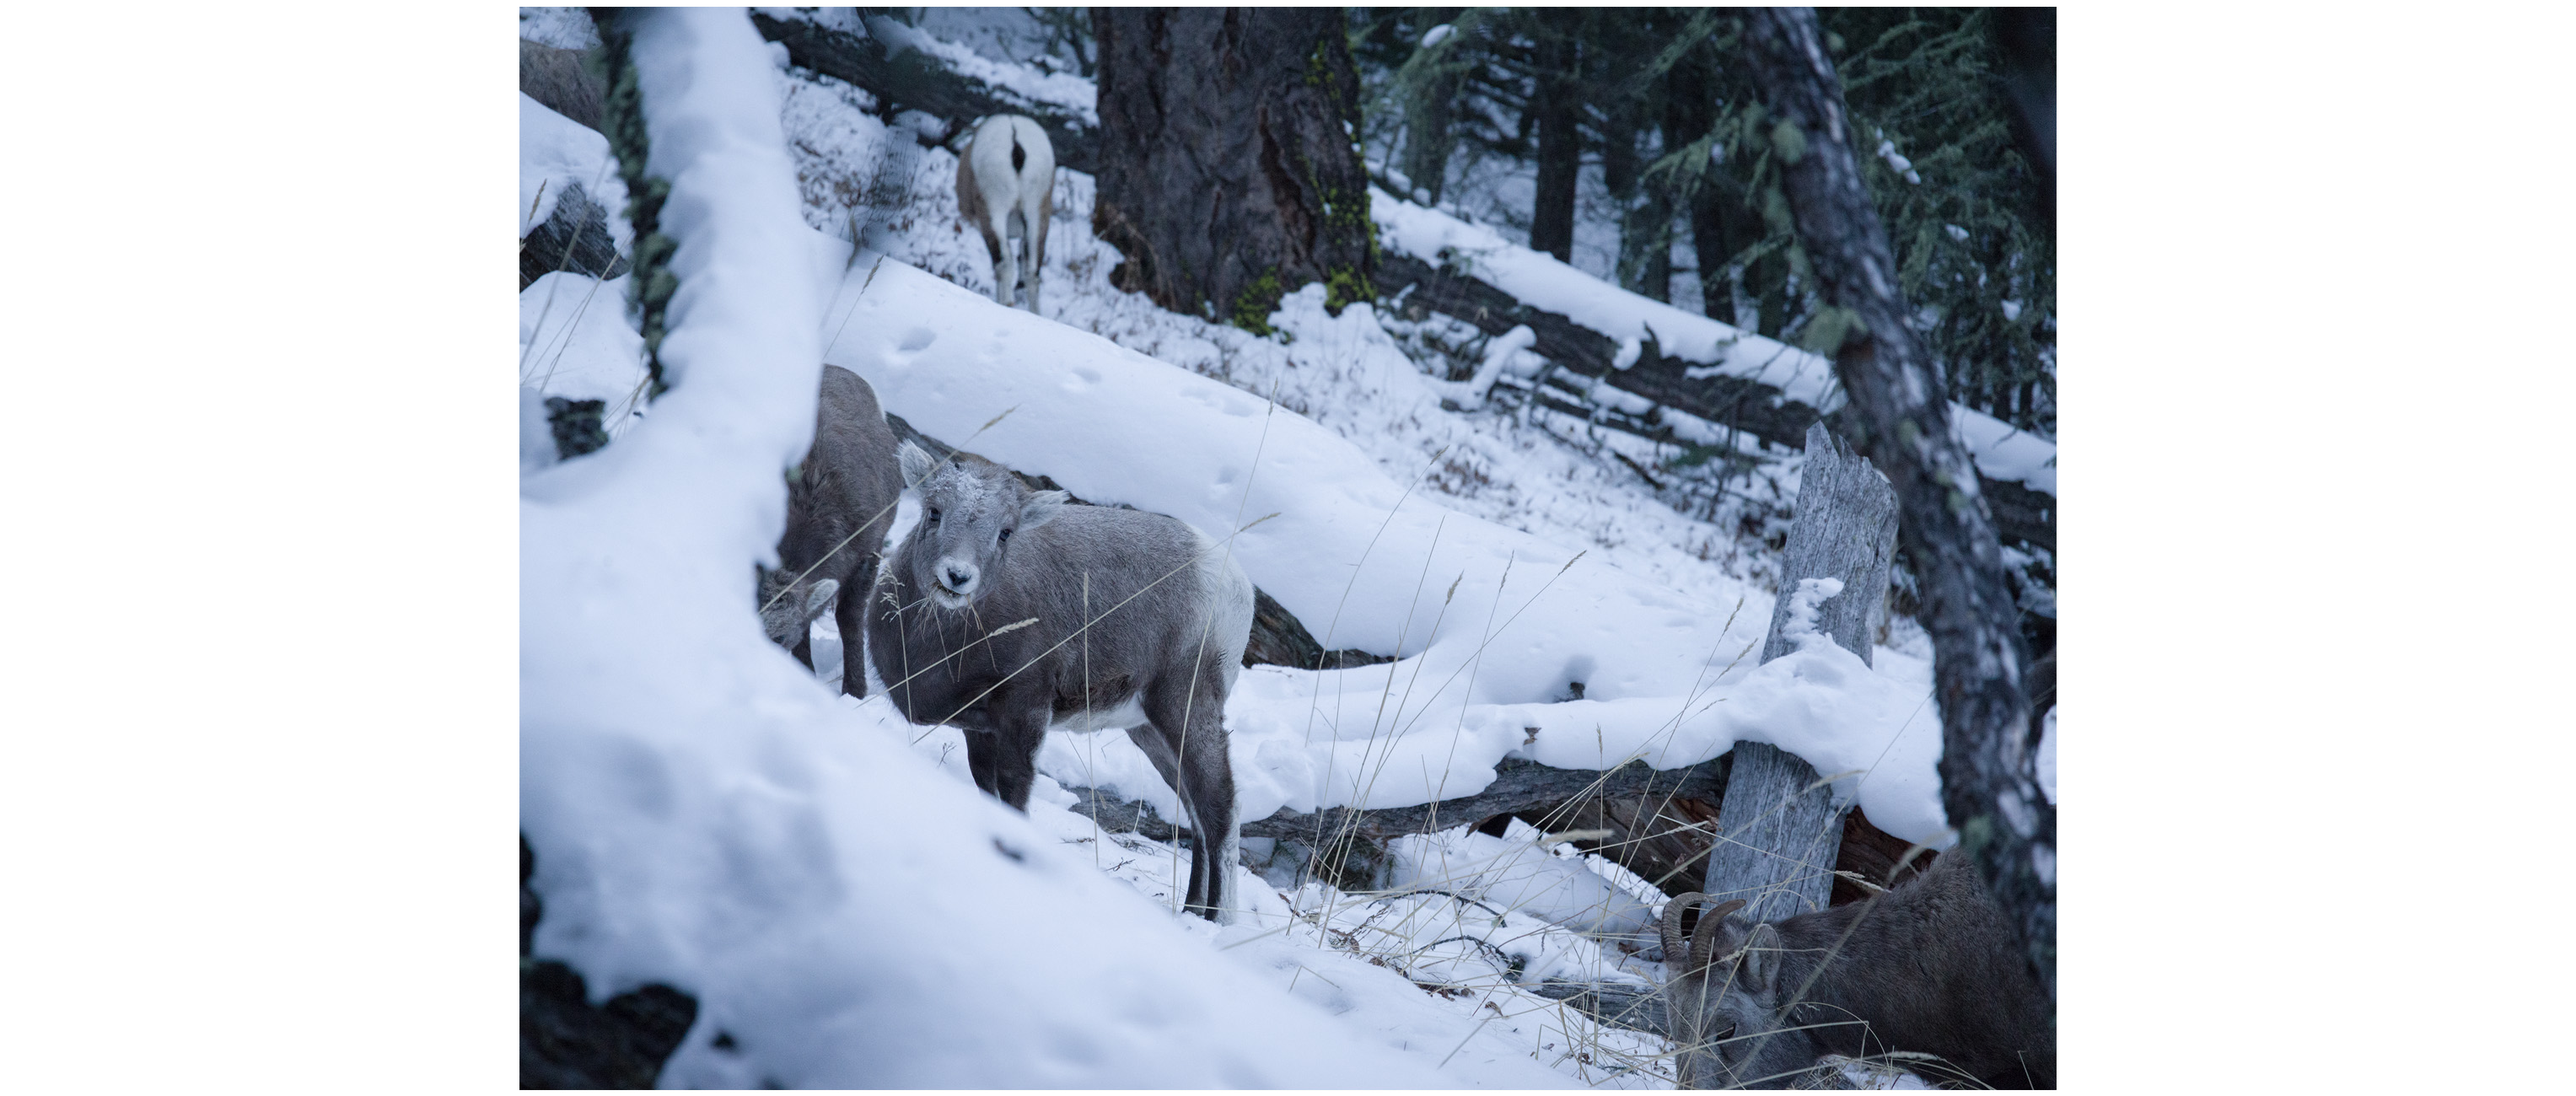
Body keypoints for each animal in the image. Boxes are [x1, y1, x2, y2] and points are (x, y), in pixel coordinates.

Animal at [868, 441, 1254, 922]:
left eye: (1006, 532)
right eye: (934, 511)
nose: (957, 577)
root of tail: (1236, 584)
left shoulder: (1026, 710)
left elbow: (1014, 790)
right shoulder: (981, 729)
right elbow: (985, 785)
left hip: (1185, 709)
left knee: (1220, 811)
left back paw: (1215, 922)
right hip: (1149, 730)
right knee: (1196, 815)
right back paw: (1189, 914)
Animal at [954, 114, 1055, 313]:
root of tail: (1014, 139)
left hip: (994, 211)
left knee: (1004, 263)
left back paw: (1006, 304)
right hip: (1038, 215)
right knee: (1032, 271)